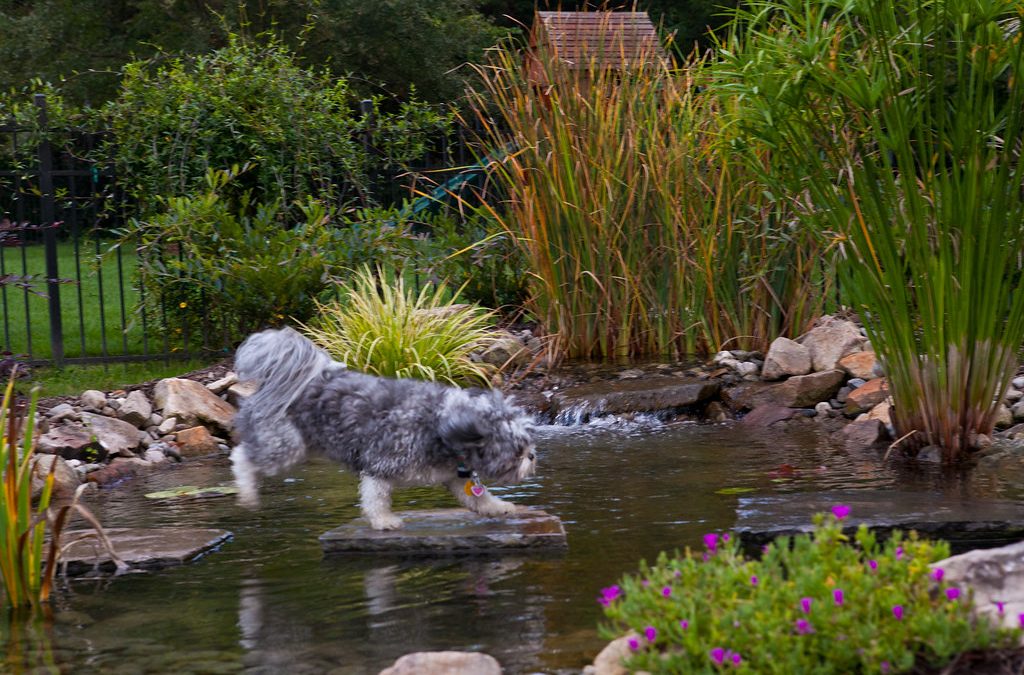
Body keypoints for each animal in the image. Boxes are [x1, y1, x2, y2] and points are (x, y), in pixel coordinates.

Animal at [231, 329, 536, 532]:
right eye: (517, 449)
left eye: (528, 444)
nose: (532, 456)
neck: (441, 425)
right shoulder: (381, 464)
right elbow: (375, 498)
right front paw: (384, 521)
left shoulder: (455, 477)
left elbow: (479, 497)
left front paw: (499, 507)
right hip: (284, 446)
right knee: (240, 457)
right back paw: (247, 494)